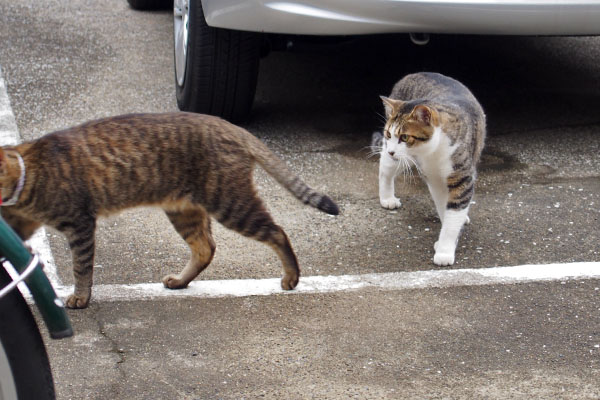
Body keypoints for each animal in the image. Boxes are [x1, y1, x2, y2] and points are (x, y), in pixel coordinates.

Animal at [0, 112, 338, 310]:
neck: (28, 174)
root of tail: (228, 124)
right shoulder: (21, 225)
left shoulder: (80, 223)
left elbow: (81, 267)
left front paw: (81, 297)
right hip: (185, 210)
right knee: (206, 248)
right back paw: (181, 281)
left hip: (231, 203)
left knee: (277, 232)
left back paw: (292, 276)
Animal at [372, 72, 486, 266]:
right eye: (389, 134)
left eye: (404, 137)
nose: (392, 150)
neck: (433, 152)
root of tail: (412, 74)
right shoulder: (433, 179)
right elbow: (443, 207)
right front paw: (445, 248)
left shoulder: (462, 177)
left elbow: (453, 212)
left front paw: (445, 248)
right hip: (397, 160)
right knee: (385, 170)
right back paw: (387, 198)